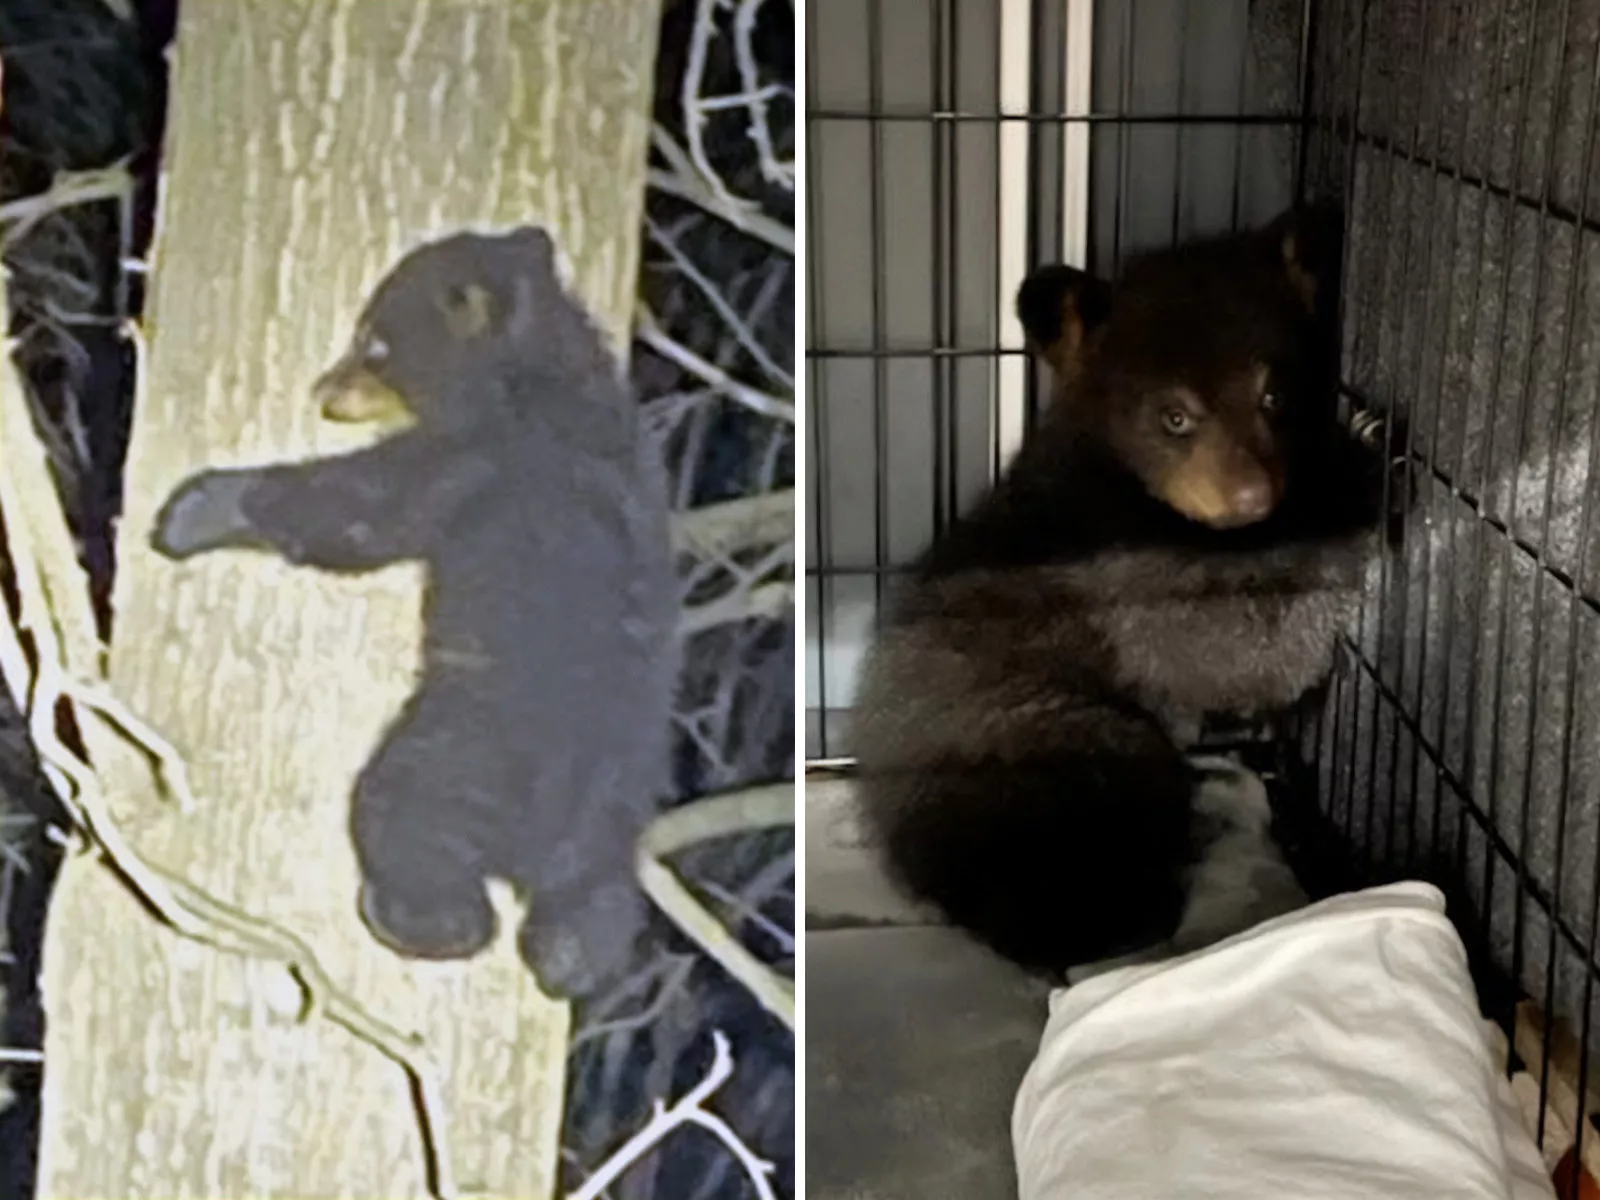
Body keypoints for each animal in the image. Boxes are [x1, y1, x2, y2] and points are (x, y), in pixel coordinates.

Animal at [151, 226, 682, 1003]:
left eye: (373, 343)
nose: (322, 389)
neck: (535, 372)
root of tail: (543, 842)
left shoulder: (476, 460)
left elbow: (359, 509)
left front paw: (197, 507)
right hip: (611, 829)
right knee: (593, 907)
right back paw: (569, 962)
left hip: (455, 757)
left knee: (402, 821)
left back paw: (422, 919)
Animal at [848, 209, 1391, 978]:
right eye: (1175, 416)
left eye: (1274, 395)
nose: (1254, 495)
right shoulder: (1121, 573)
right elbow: (1240, 648)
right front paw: (1361, 465)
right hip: (1060, 749)